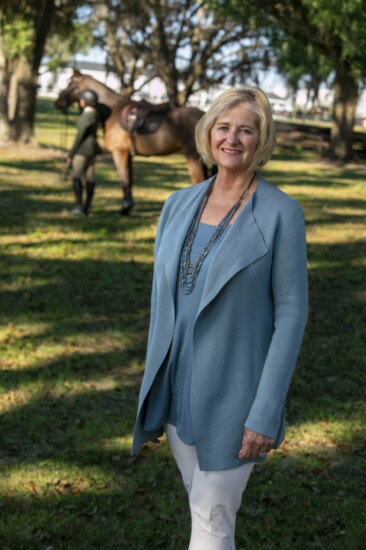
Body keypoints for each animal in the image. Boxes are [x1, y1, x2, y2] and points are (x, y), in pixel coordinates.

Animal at [55, 68, 207, 213]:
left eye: (70, 84)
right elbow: (130, 180)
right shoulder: (128, 155)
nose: (58, 103)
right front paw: (128, 206)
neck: (113, 111)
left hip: (193, 158)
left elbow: (123, 180)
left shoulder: (119, 153)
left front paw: (124, 208)